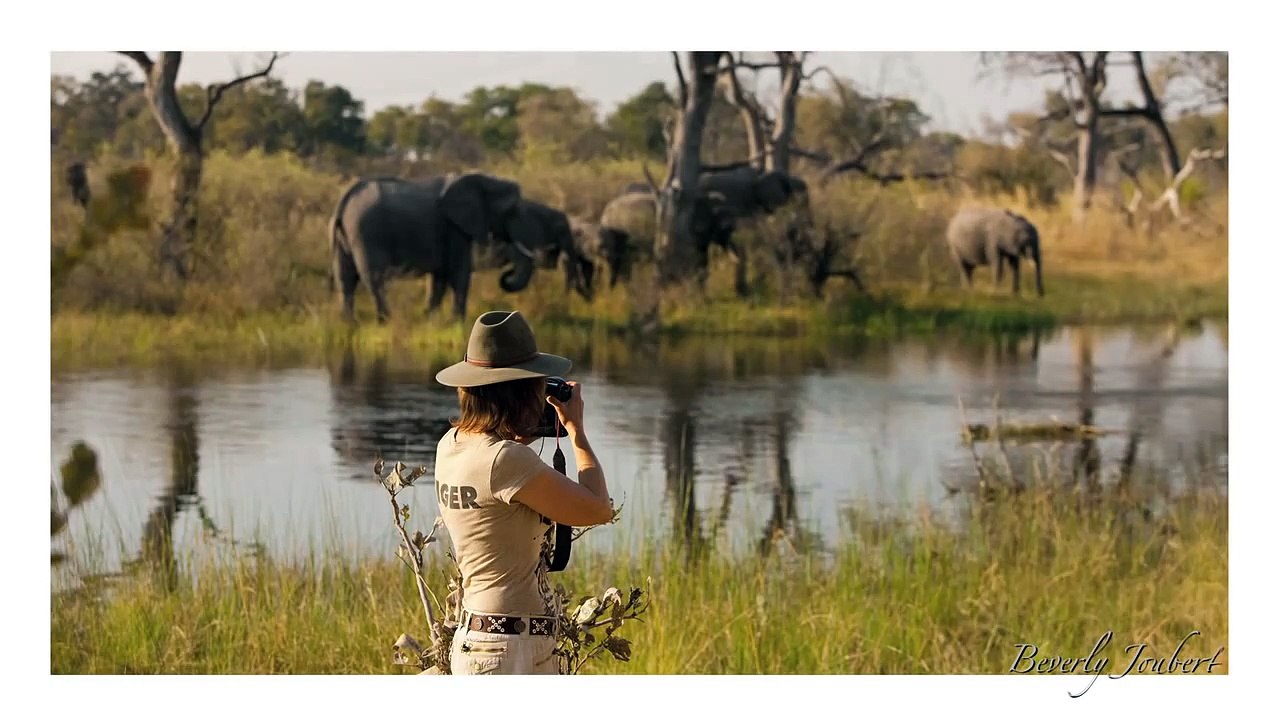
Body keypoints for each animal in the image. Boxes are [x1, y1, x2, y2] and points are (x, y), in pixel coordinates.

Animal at [329, 172, 533, 322]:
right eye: (511, 211)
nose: (506, 275)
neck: (484, 180)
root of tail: (343, 200)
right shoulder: (453, 227)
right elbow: (459, 273)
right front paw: (458, 323)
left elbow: (439, 277)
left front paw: (430, 320)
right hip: (366, 232)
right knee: (374, 278)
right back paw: (385, 320)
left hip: (345, 235)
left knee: (345, 279)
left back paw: (349, 323)